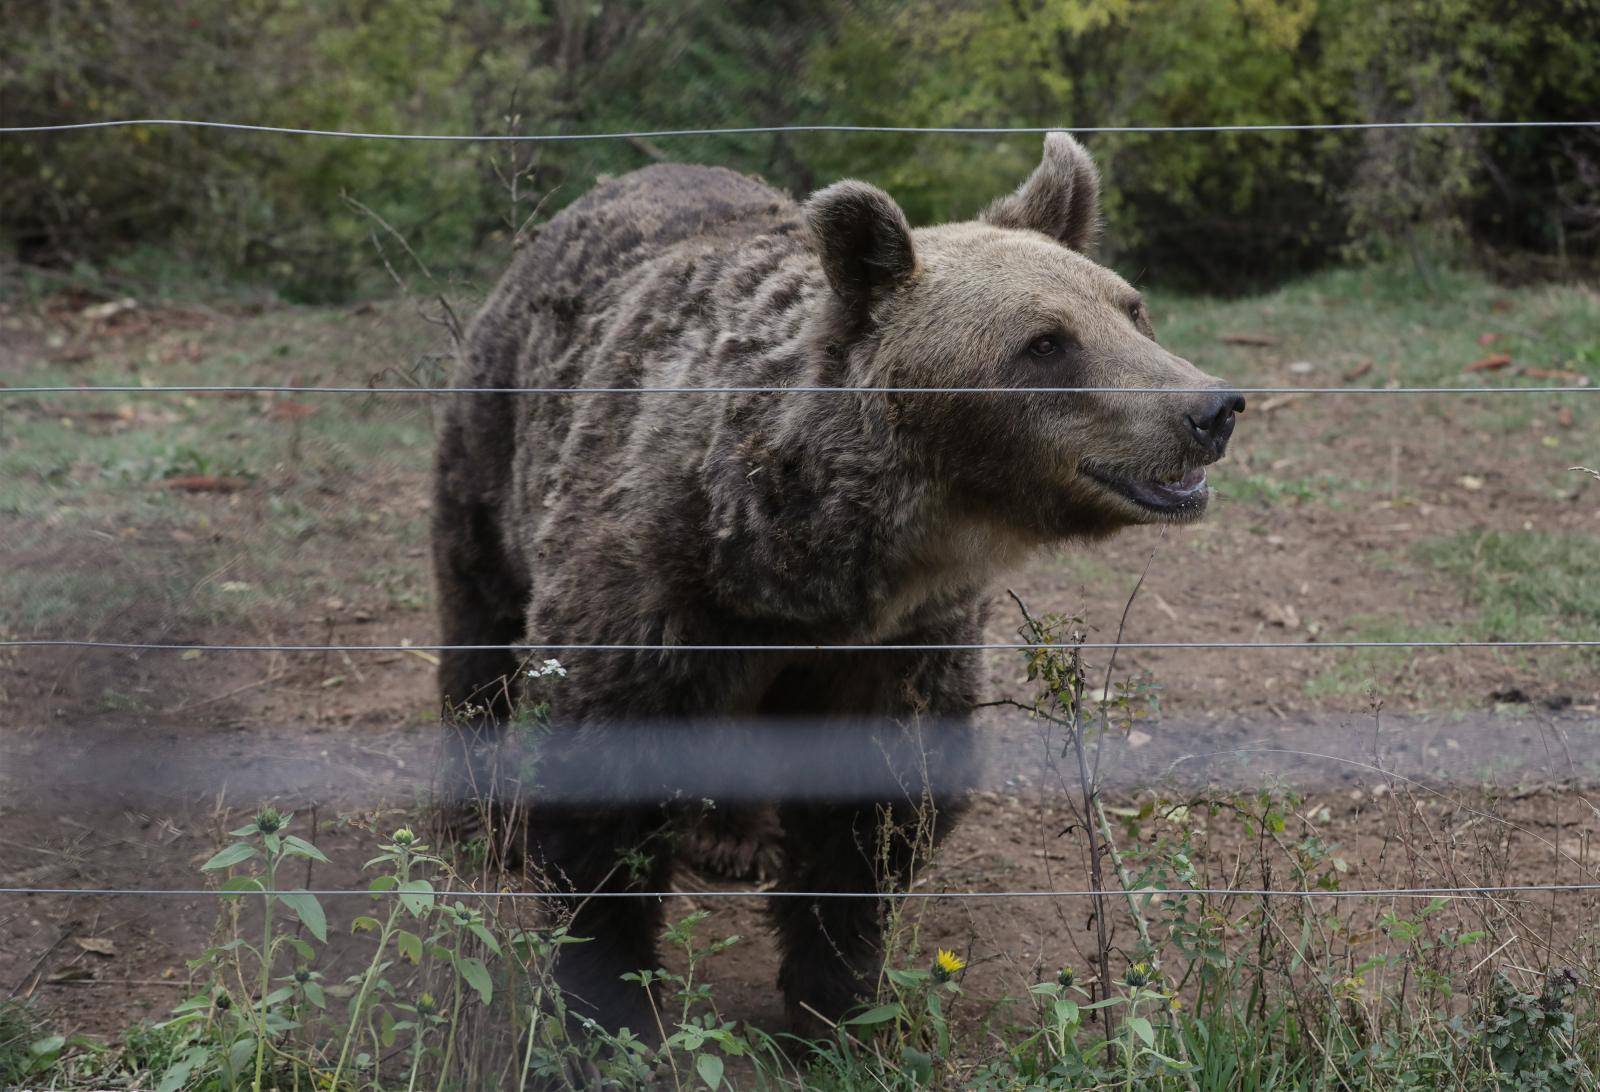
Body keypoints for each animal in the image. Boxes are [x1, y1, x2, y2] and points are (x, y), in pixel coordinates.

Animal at [432, 132, 1241, 1031]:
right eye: (1046, 341)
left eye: (1131, 309)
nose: (1210, 409)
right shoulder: (651, 591)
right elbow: (599, 802)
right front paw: (612, 1009)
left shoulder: (901, 638)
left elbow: (869, 814)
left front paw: (836, 1000)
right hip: (499, 427)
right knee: (479, 605)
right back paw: (477, 815)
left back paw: (736, 836)